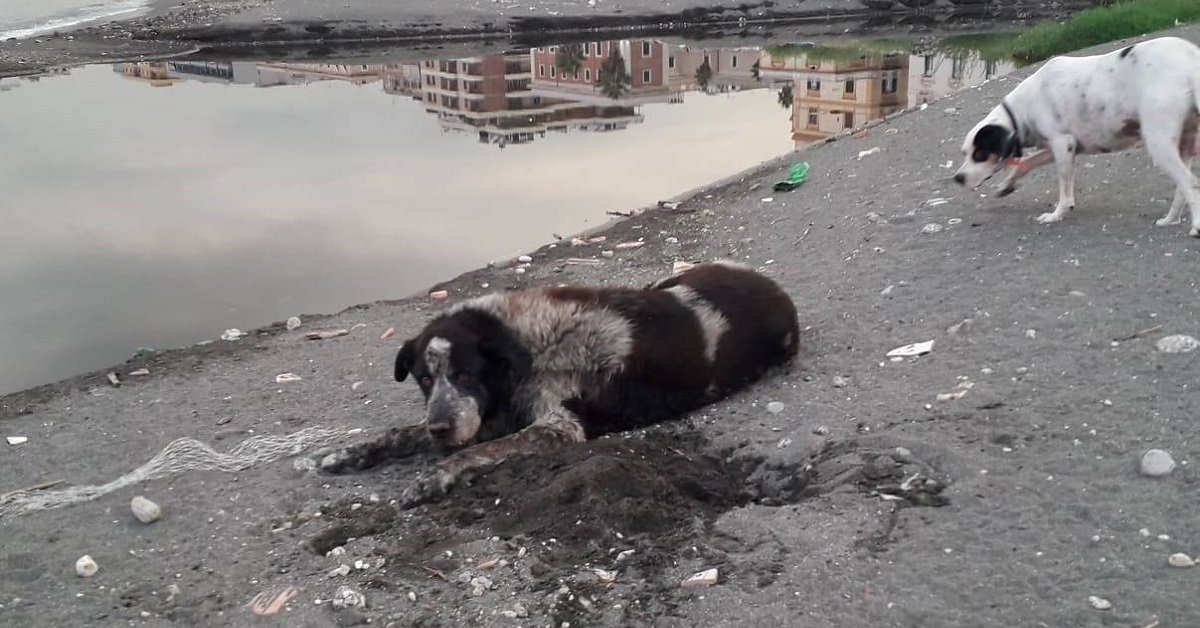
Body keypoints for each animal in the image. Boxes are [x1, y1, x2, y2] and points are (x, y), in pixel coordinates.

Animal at [324, 260, 801, 506]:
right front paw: (352, 452)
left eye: (465, 375)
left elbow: (477, 452)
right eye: (424, 378)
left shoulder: (556, 426)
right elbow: (401, 433)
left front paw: (435, 476)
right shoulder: (486, 414)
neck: (526, 344)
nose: (441, 429)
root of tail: (777, 289)